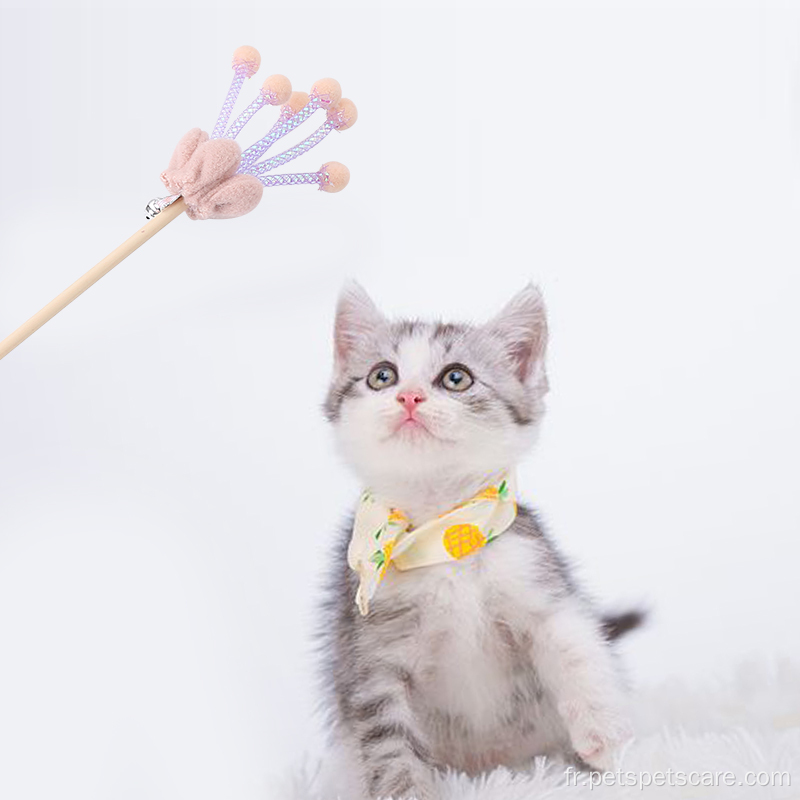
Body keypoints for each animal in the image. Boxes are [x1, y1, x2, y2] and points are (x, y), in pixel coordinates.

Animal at [318, 282, 636, 800]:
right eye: (382, 376)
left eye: (456, 378)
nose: (408, 397)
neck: (444, 534)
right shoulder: (368, 651)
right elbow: (385, 736)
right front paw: (405, 790)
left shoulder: (534, 574)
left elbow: (574, 644)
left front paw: (602, 732)